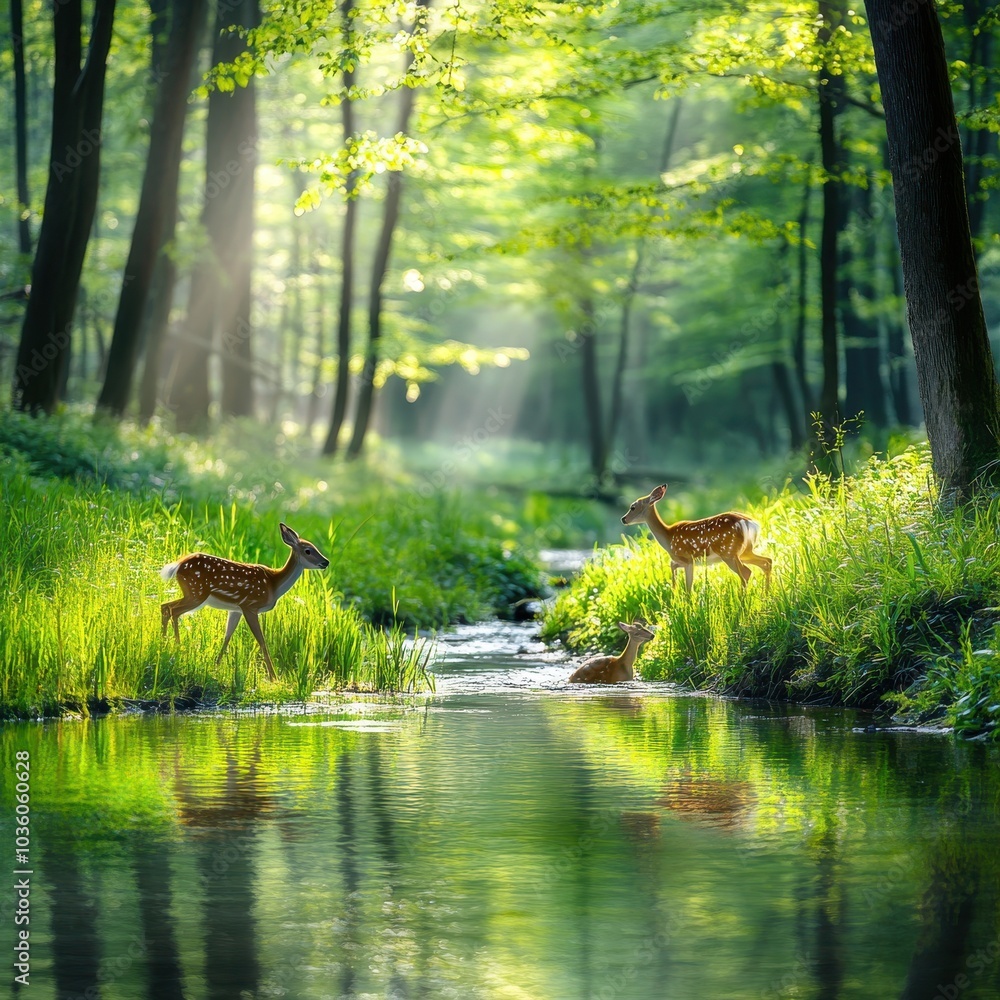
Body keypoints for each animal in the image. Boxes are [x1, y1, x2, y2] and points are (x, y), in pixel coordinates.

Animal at [160, 524, 330, 680]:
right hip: (197, 593)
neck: (274, 585)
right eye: (308, 550)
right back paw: (177, 647)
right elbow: (262, 641)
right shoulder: (250, 605)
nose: (326, 562)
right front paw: (273, 677)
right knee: (174, 610)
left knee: (165, 606)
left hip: (193, 594)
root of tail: (177, 566)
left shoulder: (236, 609)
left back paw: (164, 644)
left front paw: (216, 667)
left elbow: (227, 637)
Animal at [616, 486, 772, 592]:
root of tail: (752, 524)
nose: (623, 519)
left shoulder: (688, 559)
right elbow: (673, 567)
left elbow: (688, 587)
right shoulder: (683, 560)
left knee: (746, 572)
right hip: (744, 551)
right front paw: (674, 591)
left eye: (633, 507)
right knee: (767, 561)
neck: (668, 537)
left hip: (729, 552)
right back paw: (765, 595)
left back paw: (742, 604)